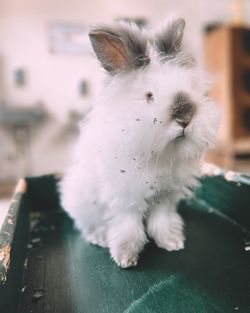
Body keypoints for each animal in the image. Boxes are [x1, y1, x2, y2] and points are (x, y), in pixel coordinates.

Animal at [59, 17, 220, 266]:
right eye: (149, 96)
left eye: (189, 88)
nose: (185, 118)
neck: (159, 154)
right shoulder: (126, 197)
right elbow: (128, 227)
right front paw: (125, 258)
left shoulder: (165, 197)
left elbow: (163, 220)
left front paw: (172, 243)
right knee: (87, 225)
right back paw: (99, 237)